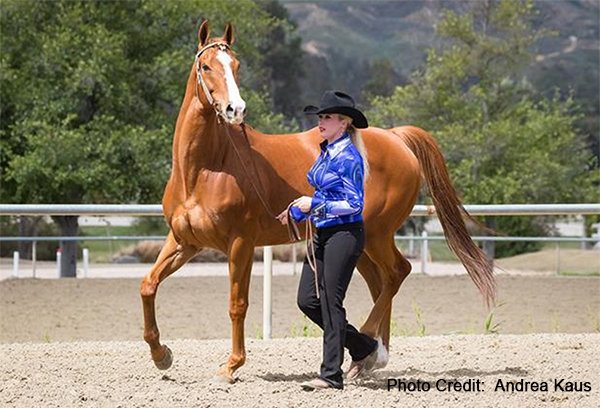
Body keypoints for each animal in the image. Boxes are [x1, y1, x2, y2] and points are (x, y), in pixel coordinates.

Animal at [141, 20, 496, 384]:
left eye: (236, 66)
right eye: (206, 66)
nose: (235, 110)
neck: (206, 168)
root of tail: (396, 138)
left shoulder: (240, 243)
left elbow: (237, 304)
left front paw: (231, 365)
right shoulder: (185, 242)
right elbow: (148, 285)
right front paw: (161, 355)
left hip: (378, 234)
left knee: (397, 273)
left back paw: (370, 349)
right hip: (365, 244)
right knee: (381, 282)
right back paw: (368, 358)